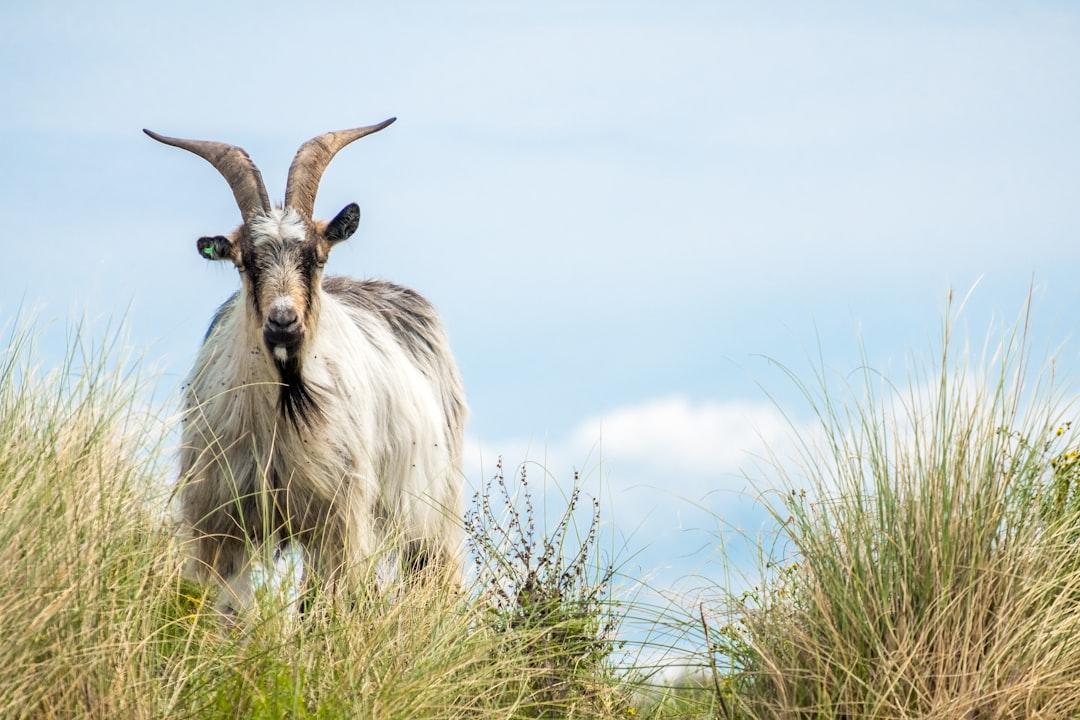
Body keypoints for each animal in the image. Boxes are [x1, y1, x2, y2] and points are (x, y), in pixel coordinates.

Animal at [145, 120, 466, 617]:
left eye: (315, 257)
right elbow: (229, 611)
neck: (282, 409)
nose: (283, 322)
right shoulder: (222, 522)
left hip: (430, 508)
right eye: (244, 262)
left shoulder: (337, 517)